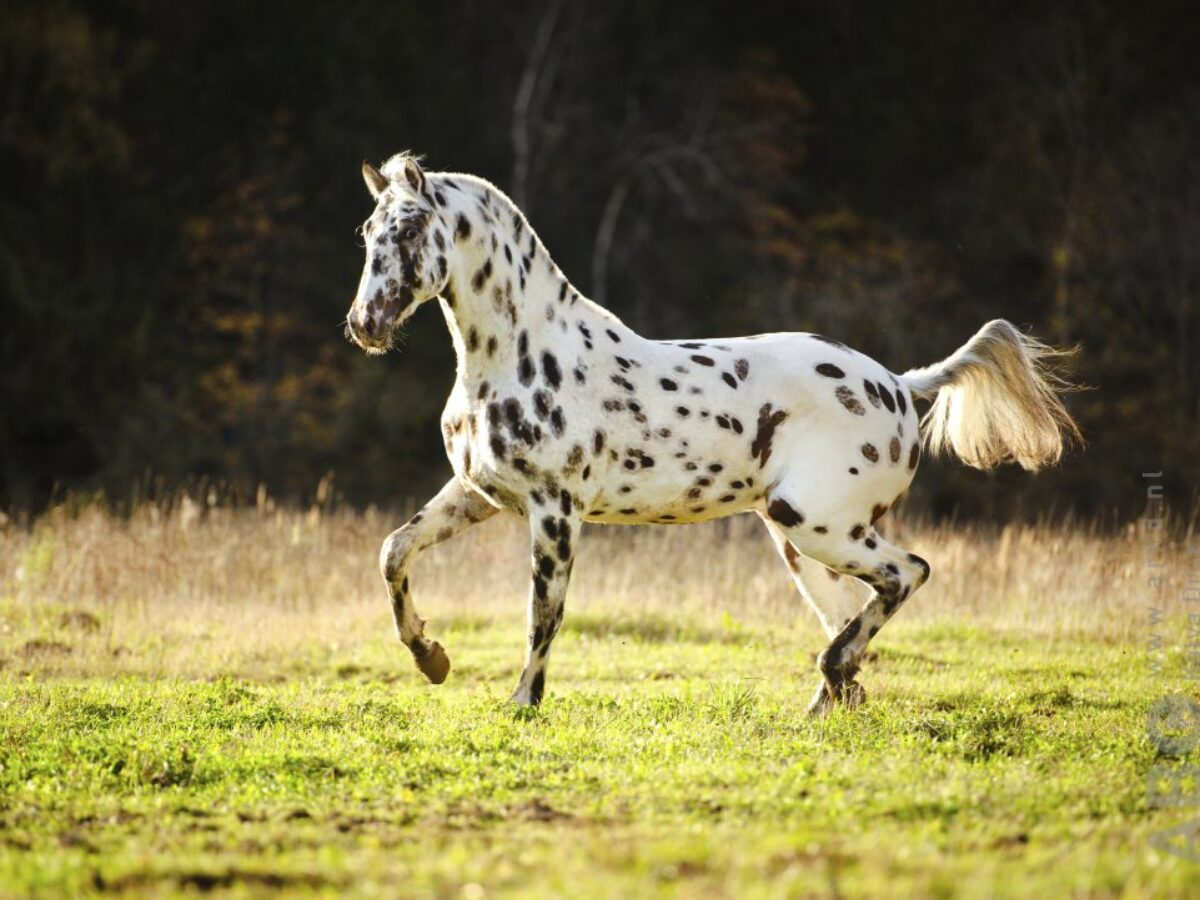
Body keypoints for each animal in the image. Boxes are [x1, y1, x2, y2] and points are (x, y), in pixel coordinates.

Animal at [343, 154, 1084, 720]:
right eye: (368, 231)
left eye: (410, 230)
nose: (364, 325)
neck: (524, 354)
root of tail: (900, 385)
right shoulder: (480, 494)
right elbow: (392, 552)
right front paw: (431, 659)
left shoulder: (556, 511)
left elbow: (543, 614)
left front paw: (522, 702)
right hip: (804, 543)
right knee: (855, 609)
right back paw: (827, 702)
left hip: (817, 525)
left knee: (908, 575)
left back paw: (829, 683)